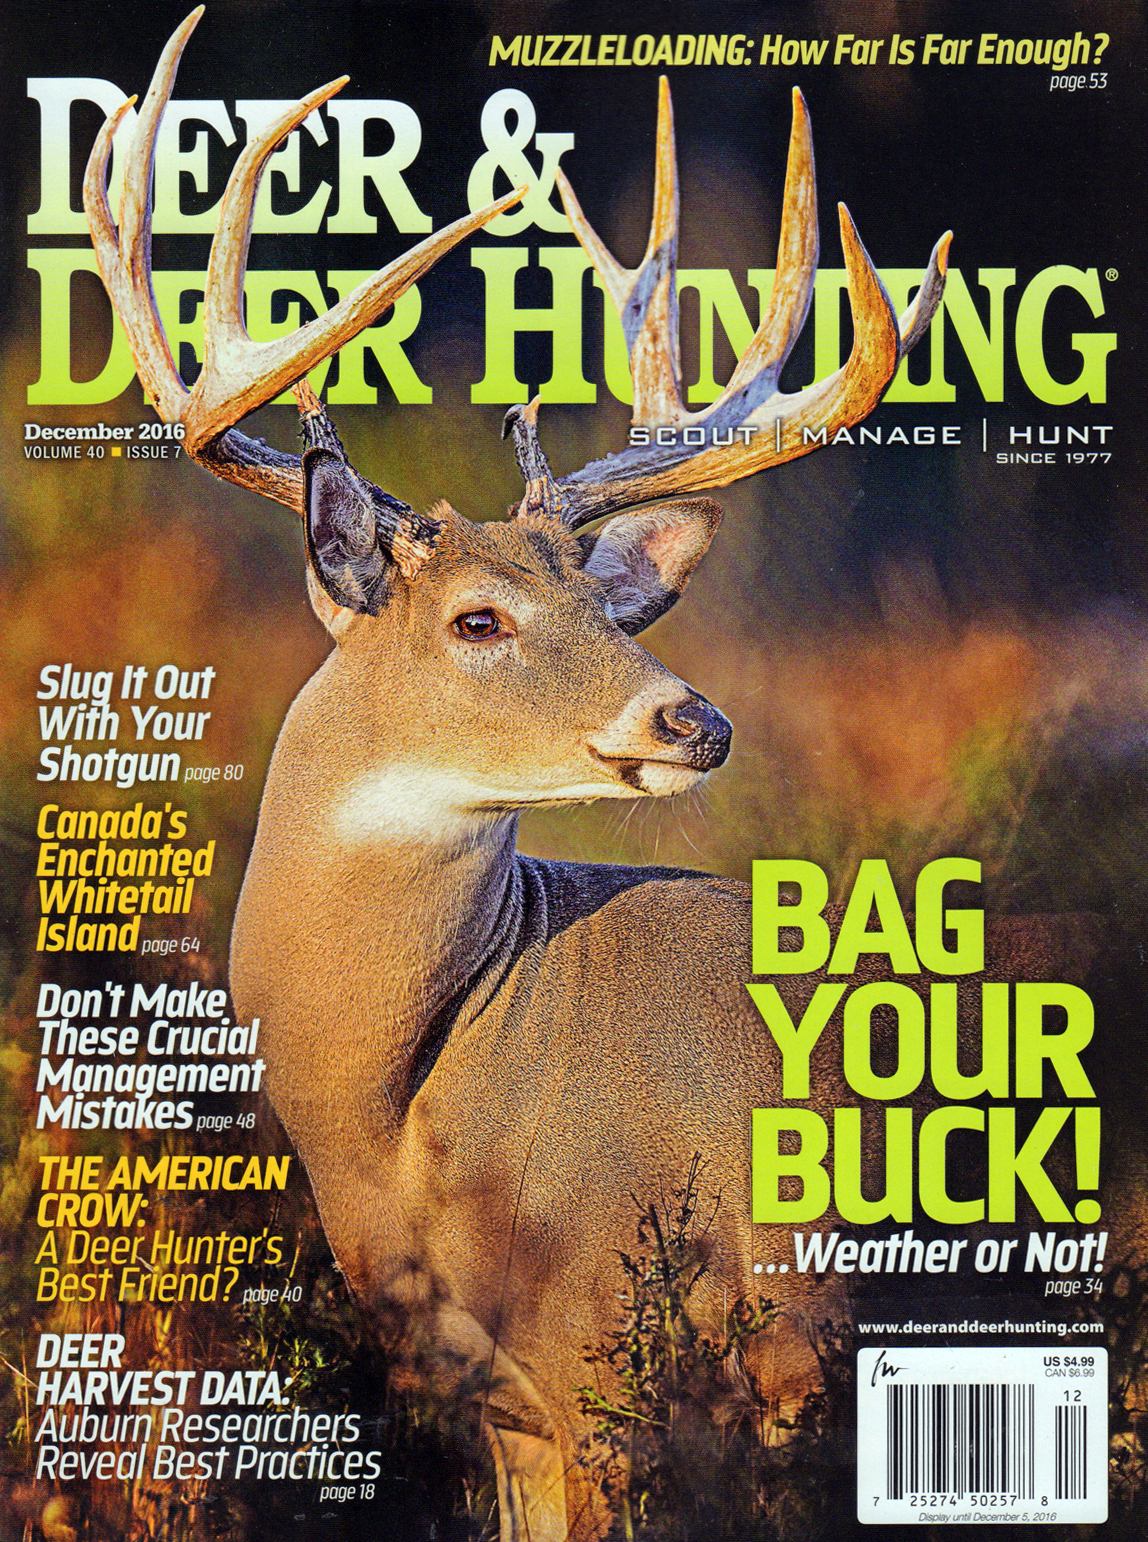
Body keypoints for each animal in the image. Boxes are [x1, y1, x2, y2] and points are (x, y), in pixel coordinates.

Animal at [83, 12, 1109, 1541]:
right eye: (479, 619)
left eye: (605, 604)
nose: (697, 720)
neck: (410, 1121)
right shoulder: (499, 1403)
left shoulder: (621, 1353)